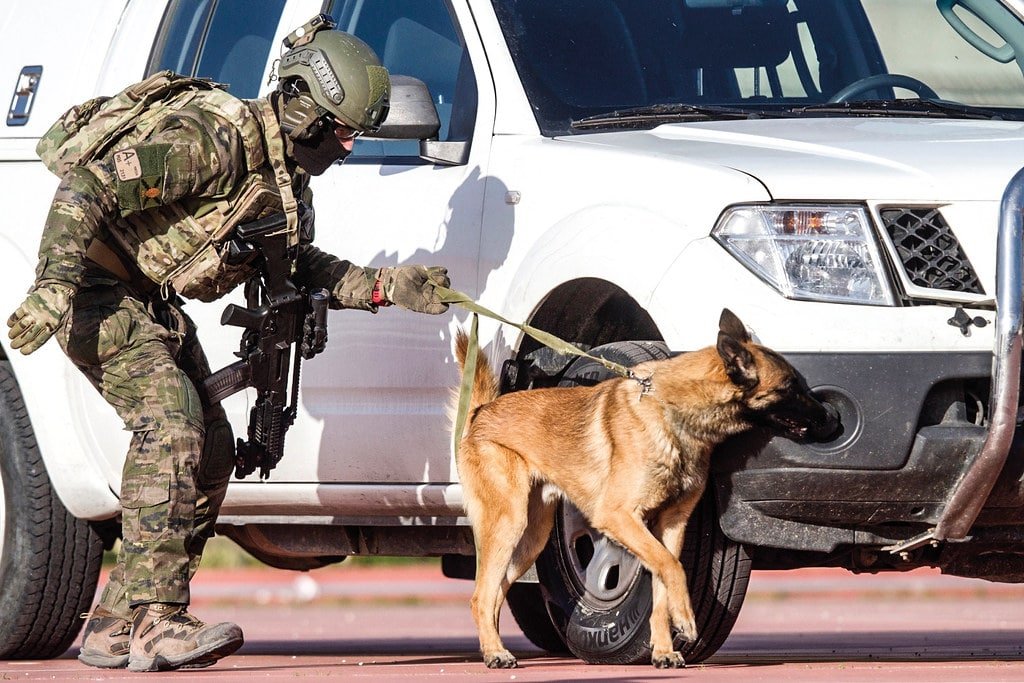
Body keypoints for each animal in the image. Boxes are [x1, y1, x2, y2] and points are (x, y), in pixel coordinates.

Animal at [456, 309, 839, 667]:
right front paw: (685, 619)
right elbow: (673, 569)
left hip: (531, 539)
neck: (673, 412)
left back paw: (492, 647)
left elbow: (662, 584)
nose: (830, 418)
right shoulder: (619, 518)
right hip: (509, 524)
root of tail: (482, 411)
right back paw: (495, 653)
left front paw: (664, 650)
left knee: (493, 593)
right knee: (479, 596)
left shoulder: (669, 527)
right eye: (789, 388)